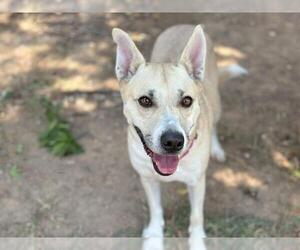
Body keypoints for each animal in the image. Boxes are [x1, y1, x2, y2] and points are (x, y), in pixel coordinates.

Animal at [112, 23, 246, 250]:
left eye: (186, 101)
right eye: (145, 101)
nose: (173, 141)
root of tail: (185, 25)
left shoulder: (197, 182)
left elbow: (196, 217)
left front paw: (197, 243)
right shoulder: (147, 178)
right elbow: (156, 210)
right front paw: (154, 238)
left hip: (216, 103)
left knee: (215, 124)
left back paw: (216, 148)